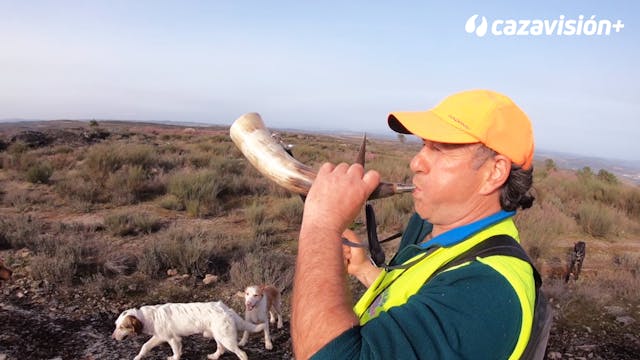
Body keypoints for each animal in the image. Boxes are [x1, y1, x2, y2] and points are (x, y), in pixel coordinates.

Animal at [112, 300, 264, 360]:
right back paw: (214, 356)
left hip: (226, 338)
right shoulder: (159, 337)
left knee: (242, 354)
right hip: (219, 335)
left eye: (122, 327)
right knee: (220, 349)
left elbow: (175, 352)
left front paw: (174, 357)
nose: (112, 338)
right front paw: (138, 357)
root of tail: (226, 308)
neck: (147, 317)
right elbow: (145, 346)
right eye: (116, 325)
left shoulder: (172, 339)